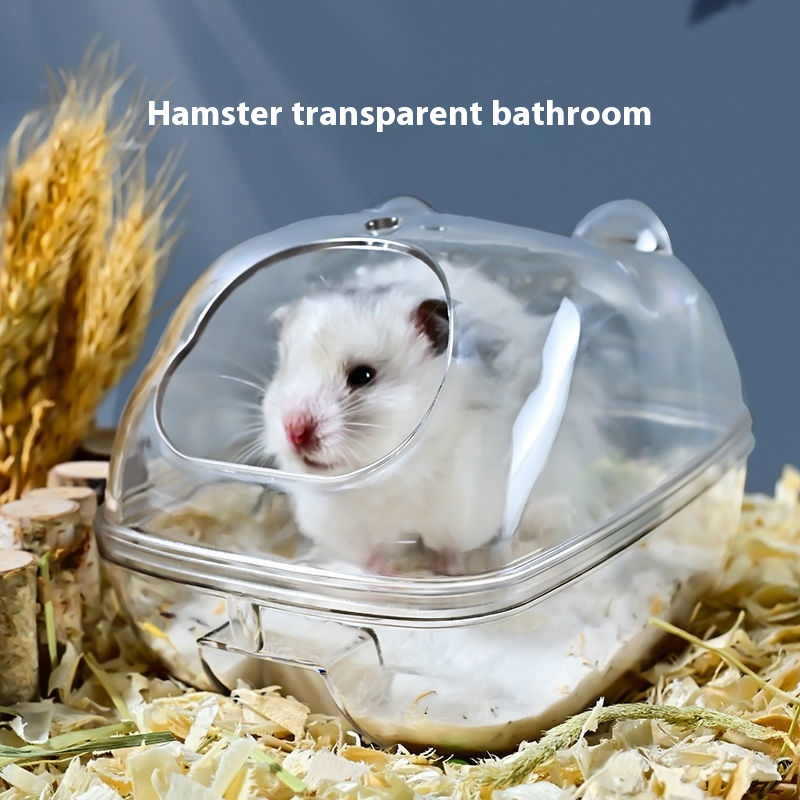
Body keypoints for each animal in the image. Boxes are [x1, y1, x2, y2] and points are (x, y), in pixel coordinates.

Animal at [260, 259, 605, 571]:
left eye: (363, 376)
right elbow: (372, 559)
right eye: (284, 370)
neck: (392, 475)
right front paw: (382, 583)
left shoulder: (464, 509)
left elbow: (452, 549)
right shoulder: (349, 529)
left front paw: (450, 573)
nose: (294, 432)